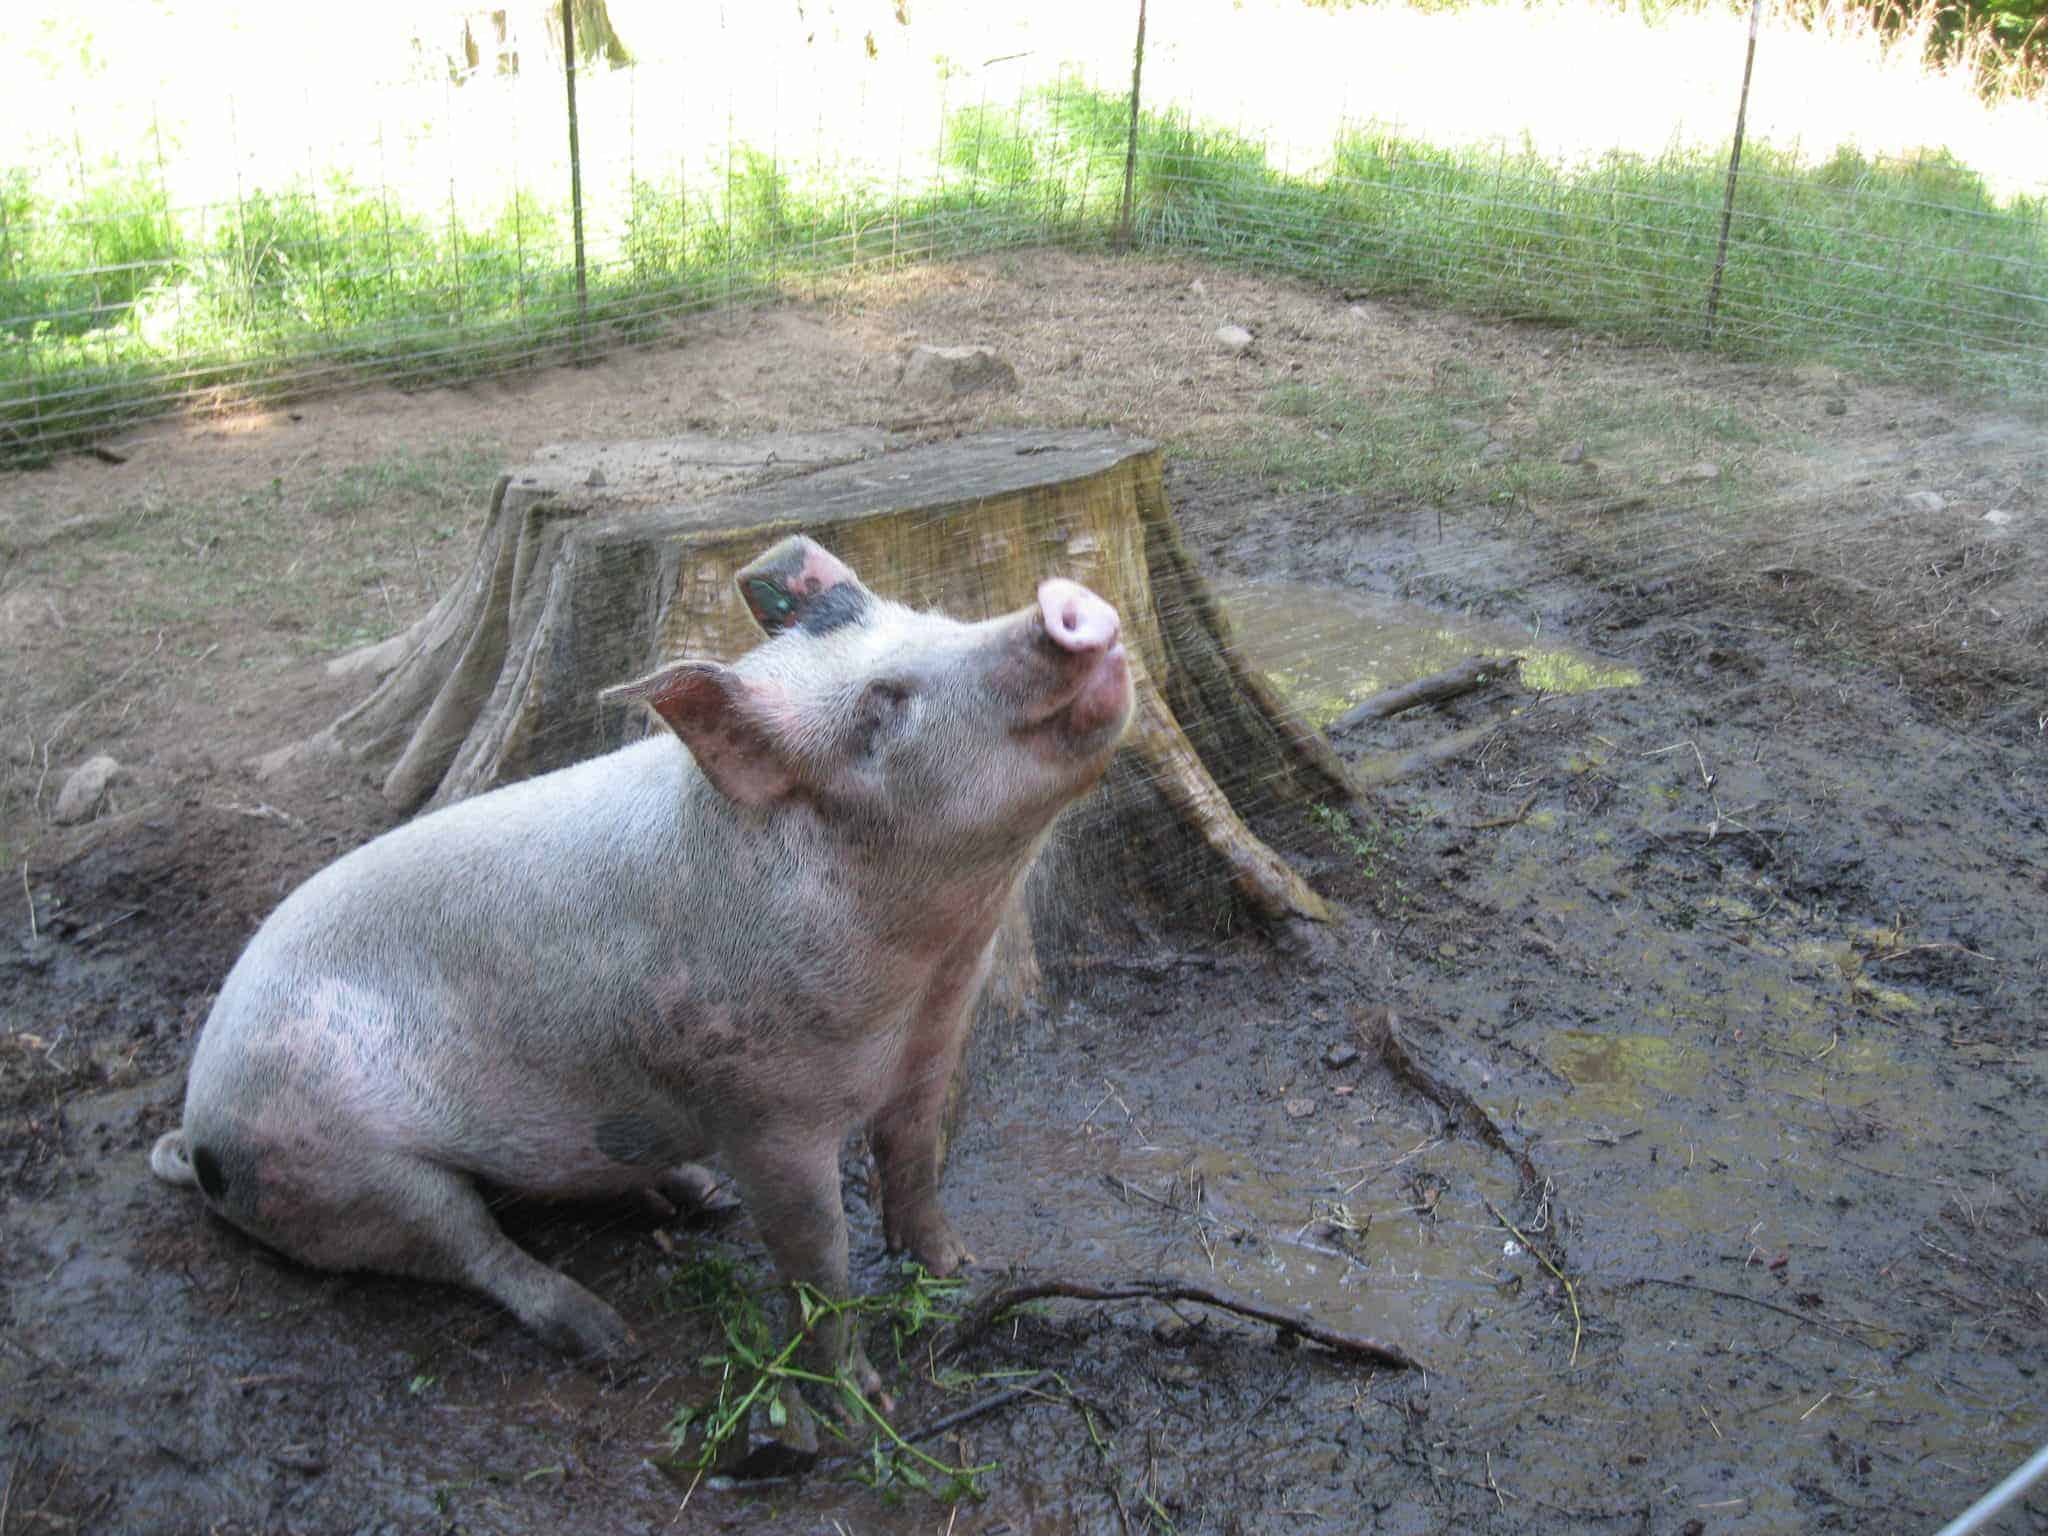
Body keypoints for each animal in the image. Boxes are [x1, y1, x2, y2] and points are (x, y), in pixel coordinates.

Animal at [149, 540, 1130, 1392]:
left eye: (940, 617)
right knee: (471, 1246)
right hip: (336, 1158)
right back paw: (607, 1338)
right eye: (882, 705)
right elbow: (819, 1262)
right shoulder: (761, 1111)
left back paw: (696, 1198)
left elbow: (915, 1164)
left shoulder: (934, 1047)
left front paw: (962, 1268)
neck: (926, 973)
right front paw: (860, 1401)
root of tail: (197, 1128)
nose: (1061, 604)